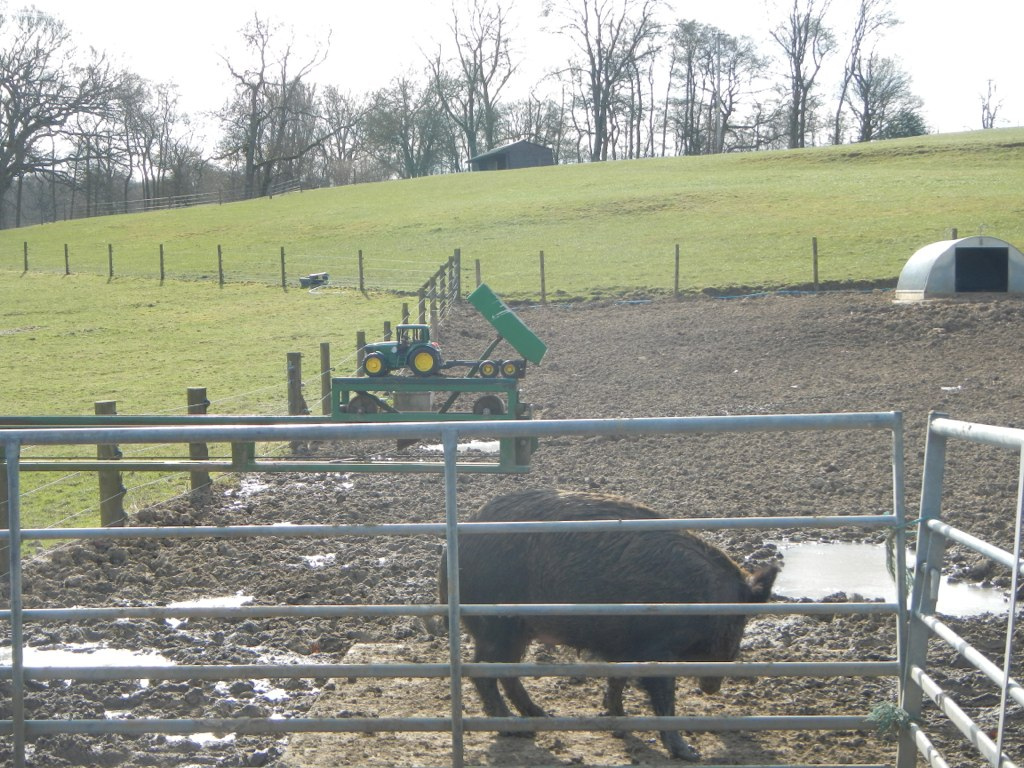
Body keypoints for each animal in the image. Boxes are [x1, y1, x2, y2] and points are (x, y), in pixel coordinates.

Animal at [436, 489, 778, 761]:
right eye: (738, 619)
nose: (712, 687)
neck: (701, 600)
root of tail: (452, 549)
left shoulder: (625, 646)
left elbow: (618, 678)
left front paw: (618, 720)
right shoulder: (656, 649)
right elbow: (663, 696)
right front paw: (689, 754)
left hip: (518, 630)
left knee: (506, 672)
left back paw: (541, 715)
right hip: (496, 624)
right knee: (481, 670)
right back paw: (514, 730)